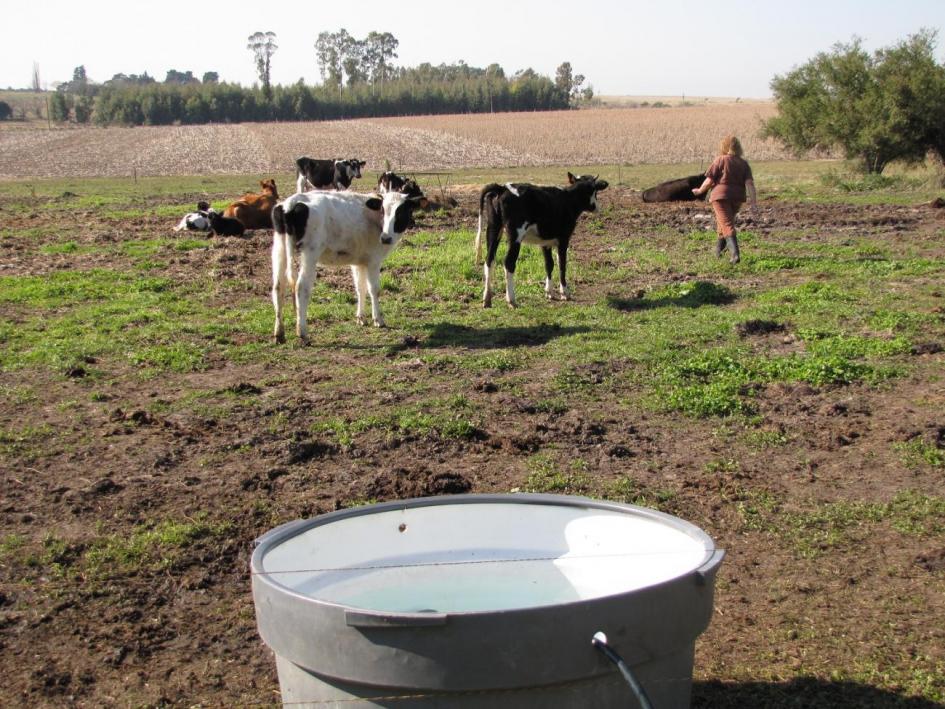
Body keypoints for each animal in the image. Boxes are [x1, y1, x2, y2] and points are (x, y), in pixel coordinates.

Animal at [268, 188, 426, 342]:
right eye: (382, 210)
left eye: (401, 211)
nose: (385, 238)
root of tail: (292, 203)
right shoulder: (374, 261)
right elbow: (374, 290)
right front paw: (378, 320)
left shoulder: (359, 262)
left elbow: (360, 288)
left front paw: (361, 318)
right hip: (310, 253)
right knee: (301, 287)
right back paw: (303, 333)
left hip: (279, 248)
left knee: (278, 287)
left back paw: (279, 333)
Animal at [476, 172, 608, 306]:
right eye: (594, 191)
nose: (597, 208)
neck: (568, 200)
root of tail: (503, 188)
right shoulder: (563, 239)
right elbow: (562, 264)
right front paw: (565, 293)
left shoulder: (545, 242)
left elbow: (549, 264)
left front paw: (549, 292)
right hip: (515, 235)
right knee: (509, 263)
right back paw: (511, 299)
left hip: (493, 228)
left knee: (489, 260)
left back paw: (487, 298)